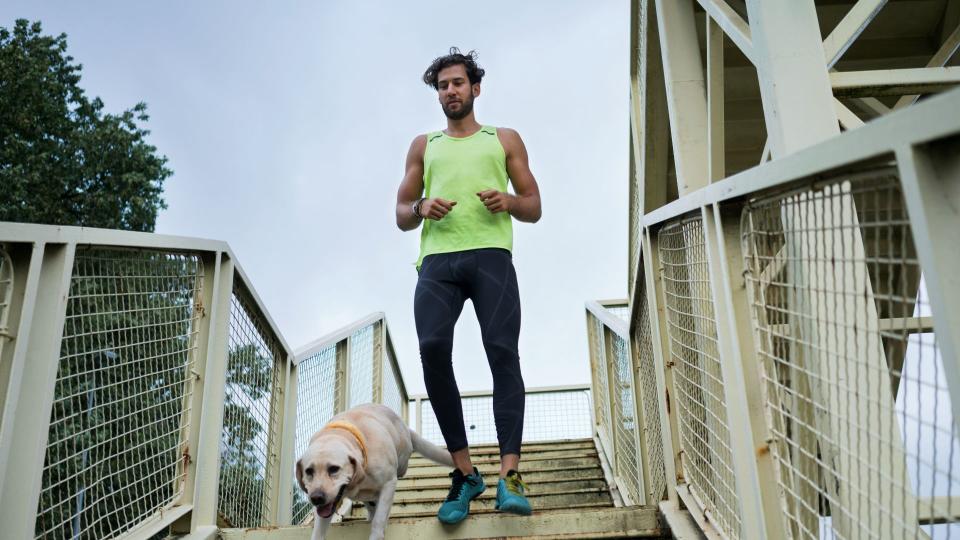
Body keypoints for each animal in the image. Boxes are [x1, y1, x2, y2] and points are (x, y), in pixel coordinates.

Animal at [296, 402, 454, 536]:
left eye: (334, 469)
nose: (316, 498)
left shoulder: (389, 483)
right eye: (309, 471)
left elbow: (379, 520)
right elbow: (318, 531)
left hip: (402, 458)